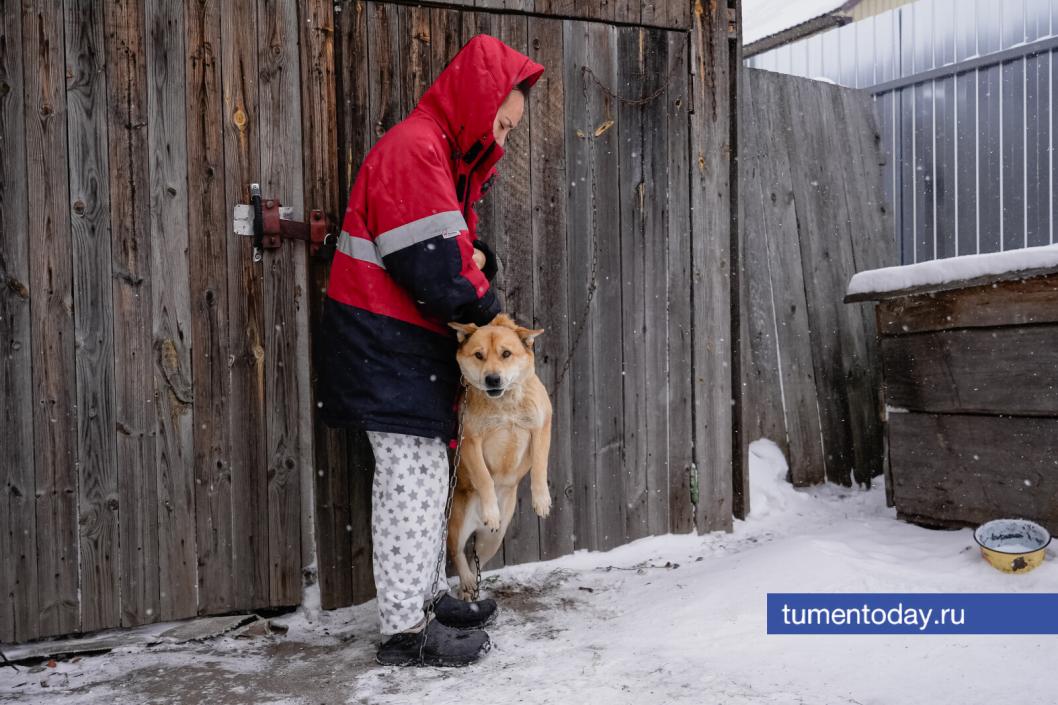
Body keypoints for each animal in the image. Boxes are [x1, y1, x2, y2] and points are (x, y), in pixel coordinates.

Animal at [444, 313, 554, 597]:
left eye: (506, 354)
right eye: (479, 355)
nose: (492, 379)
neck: (504, 404)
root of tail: (477, 526)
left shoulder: (541, 426)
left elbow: (540, 466)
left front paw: (541, 500)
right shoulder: (470, 441)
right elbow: (484, 478)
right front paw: (491, 508)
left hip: (493, 539)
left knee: (475, 560)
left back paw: (471, 587)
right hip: (458, 525)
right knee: (457, 553)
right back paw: (467, 580)